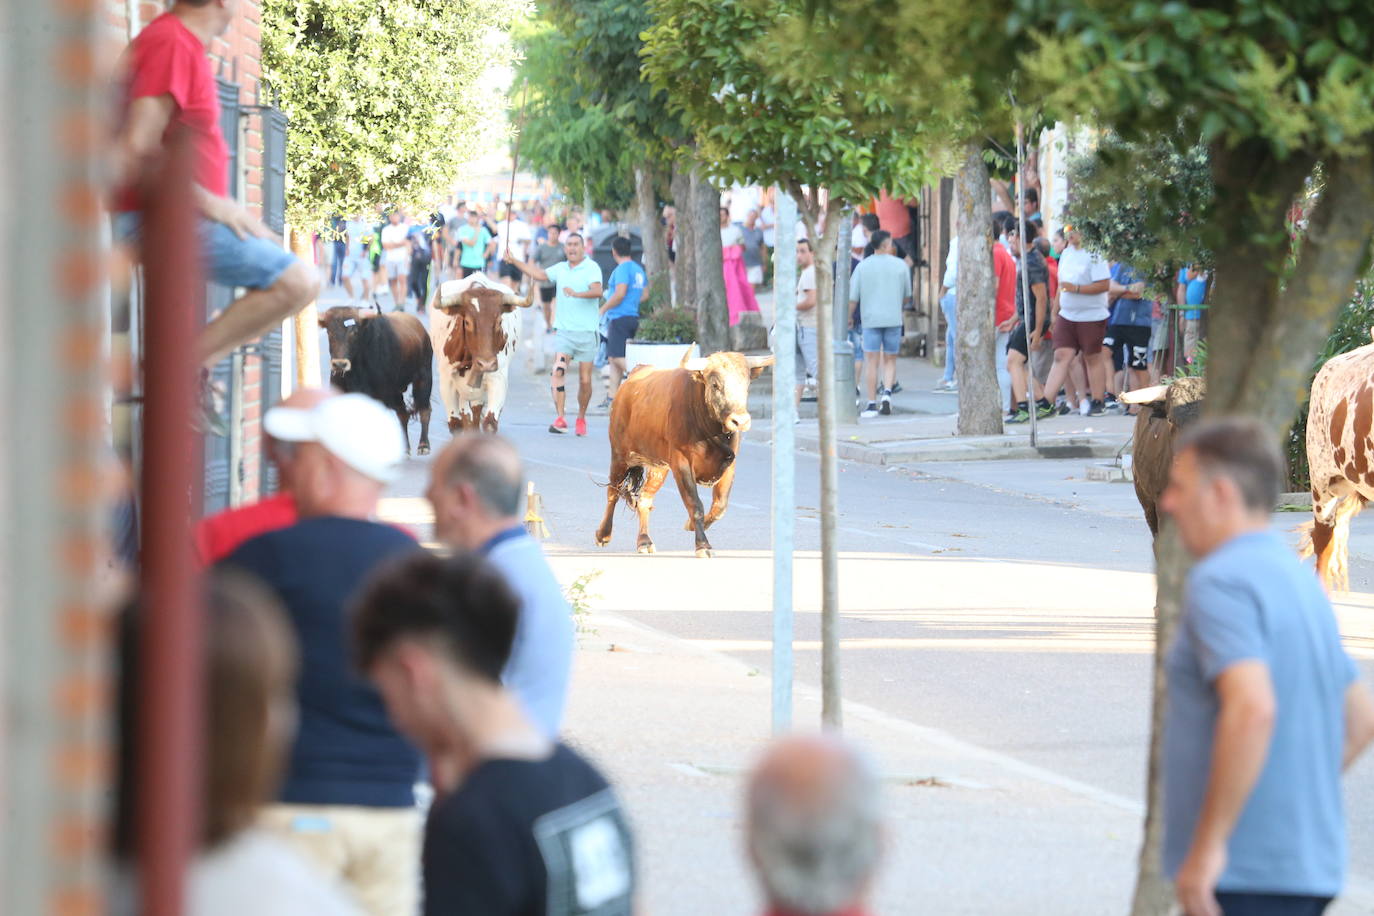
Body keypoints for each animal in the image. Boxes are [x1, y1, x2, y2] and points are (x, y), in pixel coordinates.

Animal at [318, 304, 431, 455]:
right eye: (329, 331)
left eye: (354, 332)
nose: (339, 364)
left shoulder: (379, 398)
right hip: (396, 392)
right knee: (403, 414)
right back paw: (405, 448)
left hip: (423, 378)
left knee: (424, 409)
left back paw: (423, 445)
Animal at [425, 274, 533, 436]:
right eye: (467, 322)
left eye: (499, 321)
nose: (486, 364)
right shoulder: (447, 381)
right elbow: (456, 424)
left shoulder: (498, 378)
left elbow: (489, 423)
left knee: (475, 412)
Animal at [596, 354, 780, 560]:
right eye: (715, 384)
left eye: (746, 383)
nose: (740, 421)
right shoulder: (682, 464)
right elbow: (695, 504)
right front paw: (702, 545)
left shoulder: (729, 464)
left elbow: (720, 506)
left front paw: (691, 525)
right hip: (619, 456)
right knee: (613, 492)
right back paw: (603, 534)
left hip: (658, 466)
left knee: (644, 498)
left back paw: (644, 541)